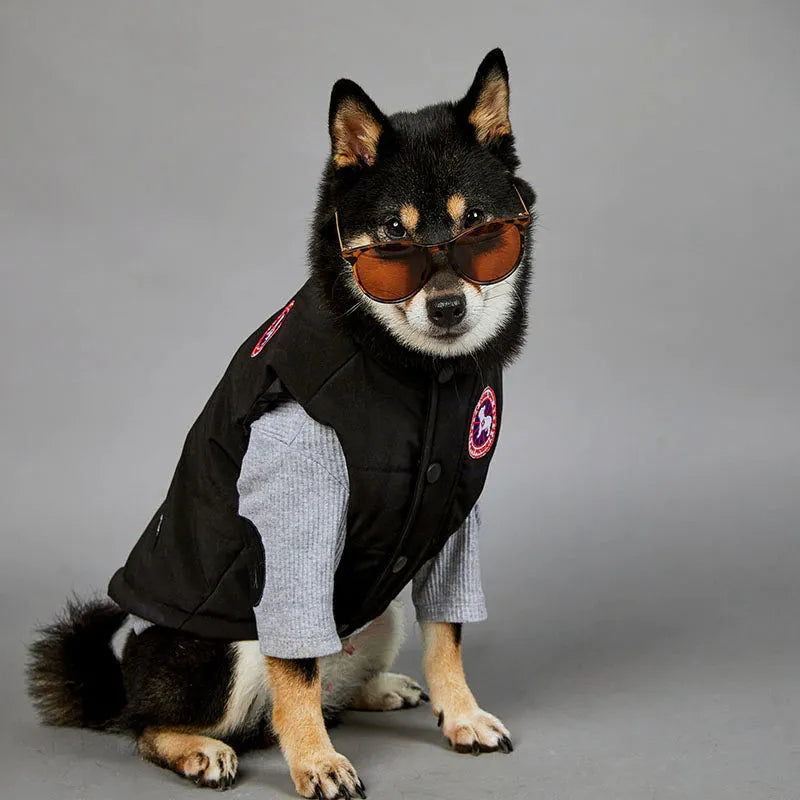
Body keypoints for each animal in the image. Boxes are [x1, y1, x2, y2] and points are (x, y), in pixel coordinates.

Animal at [26, 47, 536, 796]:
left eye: (478, 226)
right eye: (394, 236)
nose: (446, 307)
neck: (416, 374)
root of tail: (126, 682)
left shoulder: (452, 518)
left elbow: (447, 632)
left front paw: (461, 714)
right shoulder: (293, 533)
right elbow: (294, 668)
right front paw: (317, 762)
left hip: (377, 612)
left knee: (327, 684)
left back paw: (377, 689)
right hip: (225, 646)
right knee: (159, 724)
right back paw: (197, 746)